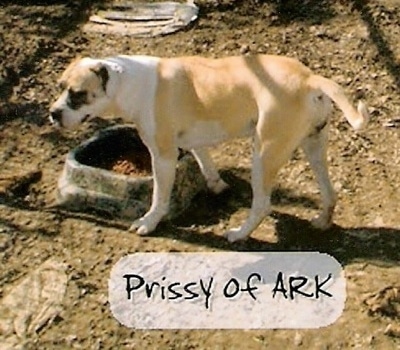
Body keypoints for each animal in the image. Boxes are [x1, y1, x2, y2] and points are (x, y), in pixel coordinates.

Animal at [50, 54, 368, 242]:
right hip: (313, 147)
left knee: (262, 204)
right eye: (60, 86)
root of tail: (309, 78)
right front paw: (217, 186)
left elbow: (159, 198)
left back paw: (239, 234)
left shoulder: (162, 157)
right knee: (329, 193)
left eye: (77, 94)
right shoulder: (193, 142)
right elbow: (206, 162)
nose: (53, 113)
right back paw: (322, 221)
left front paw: (149, 222)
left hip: (263, 153)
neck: (130, 82)